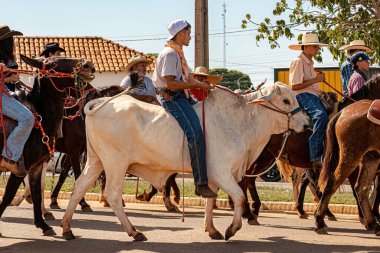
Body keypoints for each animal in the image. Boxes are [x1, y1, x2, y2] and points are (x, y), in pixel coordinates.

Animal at [0, 54, 95, 235]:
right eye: (54, 64)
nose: (88, 65)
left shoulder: (37, 166)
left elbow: (38, 192)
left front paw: (43, 224)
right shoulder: (20, 168)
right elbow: (8, 196)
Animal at [60, 82, 308, 241]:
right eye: (286, 100)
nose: (306, 124)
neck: (241, 122)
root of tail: (99, 104)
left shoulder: (214, 177)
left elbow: (210, 201)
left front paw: (212, 229)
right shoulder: (223, 172)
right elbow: (238, 197)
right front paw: (232, 228)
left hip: (96, 161)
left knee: (79, 187)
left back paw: (67, 228)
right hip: (115, 163)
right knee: (112, 195)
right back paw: (134, 231)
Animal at [314, 100, 380, 236]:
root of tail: (342, 112)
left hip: (371, 158)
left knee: (361, 189)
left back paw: (373, 223)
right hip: (350, 156)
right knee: (331, 184)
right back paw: (319, 222)